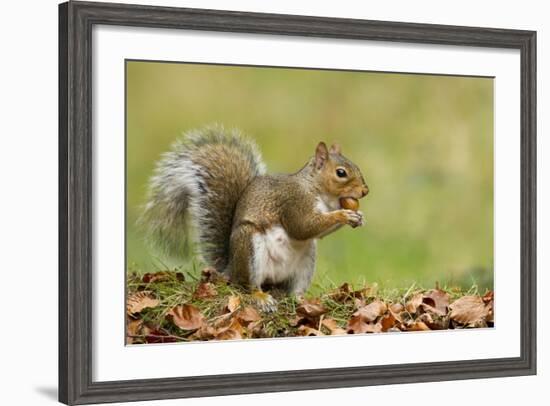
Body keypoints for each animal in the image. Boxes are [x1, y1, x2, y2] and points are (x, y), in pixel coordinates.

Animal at [141, 125, 370, 306]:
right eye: (341, 173)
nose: (365, 191)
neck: (316, 190)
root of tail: (230, 269)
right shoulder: (294, 202)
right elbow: (303, 227)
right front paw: (344, 215)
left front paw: (358, 216)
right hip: (249, 246)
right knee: (247, 285)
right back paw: (261, 297)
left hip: (306, 261)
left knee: (292, 290)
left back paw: (301, 299)